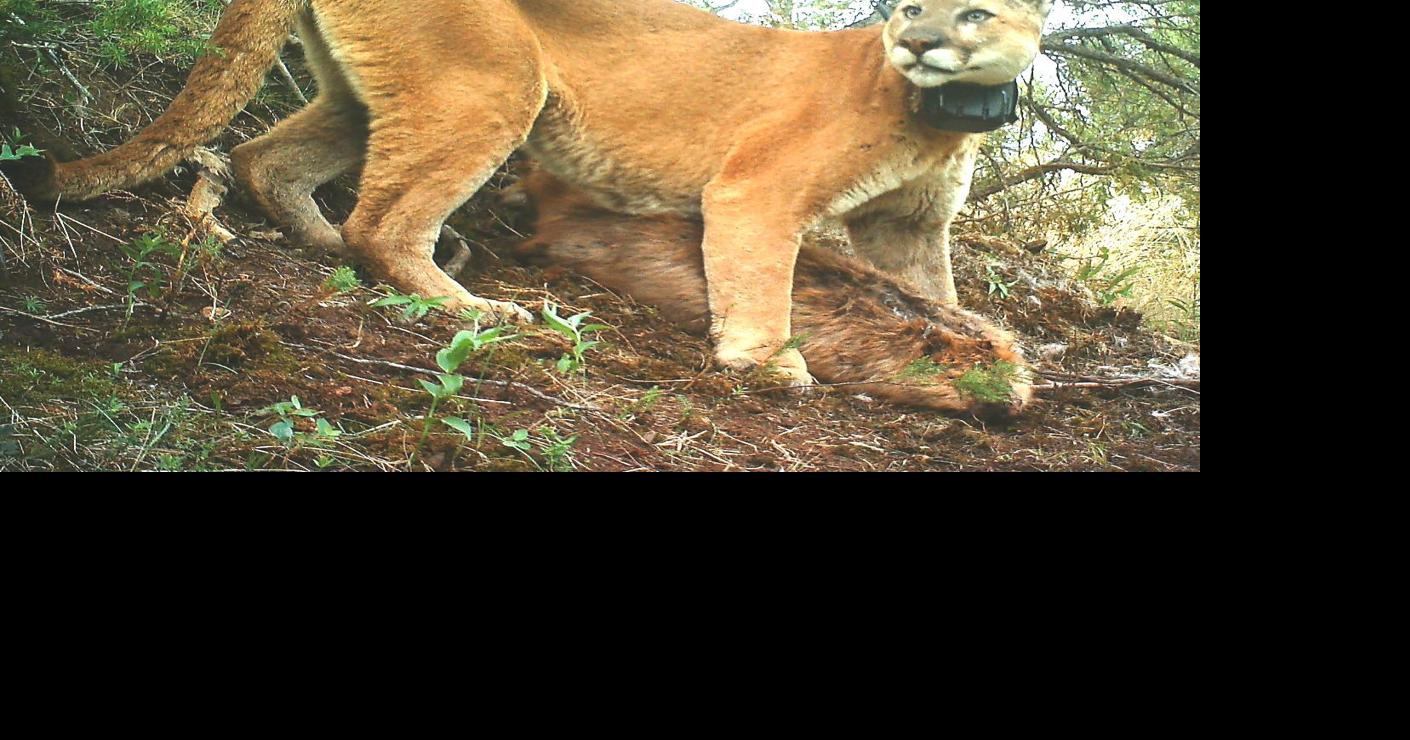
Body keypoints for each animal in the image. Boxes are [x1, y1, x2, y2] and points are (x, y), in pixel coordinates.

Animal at [8, 0, 1053, 387]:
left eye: (972, 12)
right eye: (911, 7)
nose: (918, 40)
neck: (933, 114)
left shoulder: (908, 228)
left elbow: (941, 300)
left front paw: (989, 355)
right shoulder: (757, 193)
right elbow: (761, 284)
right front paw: (768, 365)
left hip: (367, 94)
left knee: (273, 160)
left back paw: (319, 244)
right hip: (491, 89)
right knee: (385, 222)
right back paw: (483, 309)